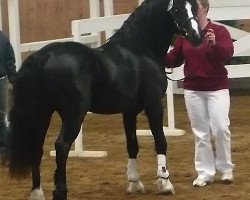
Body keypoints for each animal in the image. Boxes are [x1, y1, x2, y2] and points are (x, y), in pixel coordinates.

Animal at [8, 0, 202, 198]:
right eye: (176, 9)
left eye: (194, 8)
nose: (196, 36)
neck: (140, 49)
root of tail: (43, 56)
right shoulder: (154, 105)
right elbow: (161, 141)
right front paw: (165, 184)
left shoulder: (129, 111)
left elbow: (132, 144)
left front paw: (134, 183)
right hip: (73, 115)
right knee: (62, 146)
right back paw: (60, 192)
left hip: (41, 113)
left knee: (36, 147)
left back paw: (37, 193)